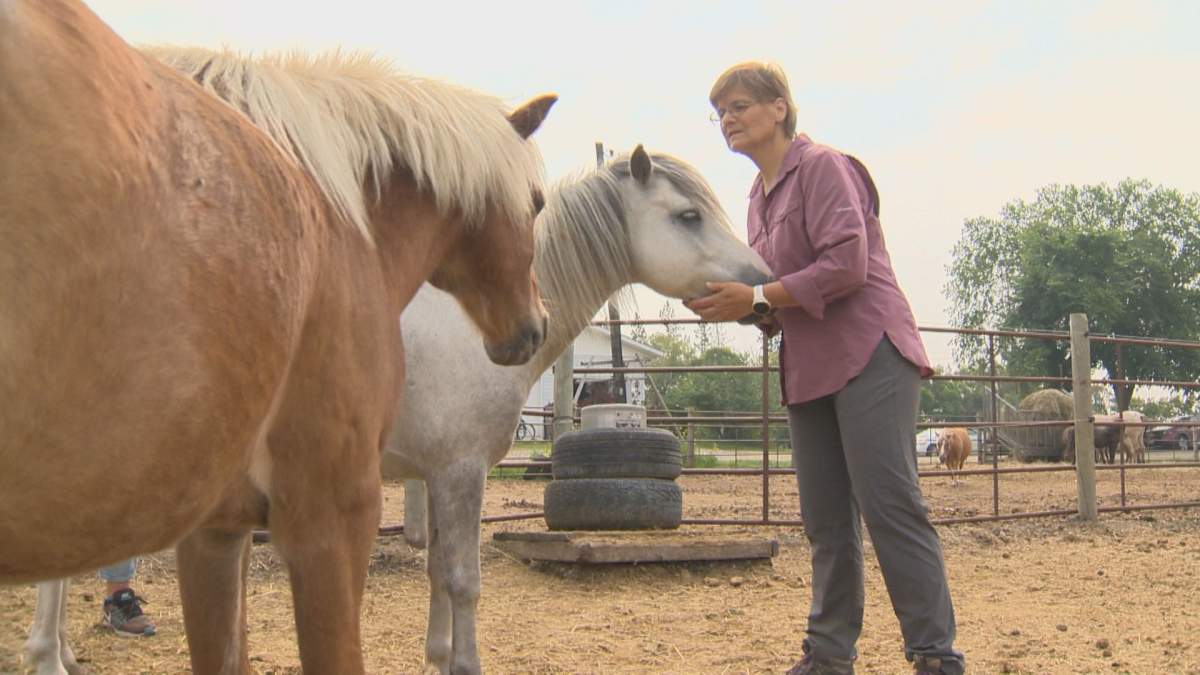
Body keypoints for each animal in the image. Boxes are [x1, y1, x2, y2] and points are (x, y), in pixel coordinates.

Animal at [381, 146, 773, 674]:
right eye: (689, 216)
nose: (763, 283)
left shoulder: (437, 474)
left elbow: (437, 575)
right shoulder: (460, 472)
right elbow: (464, 582)